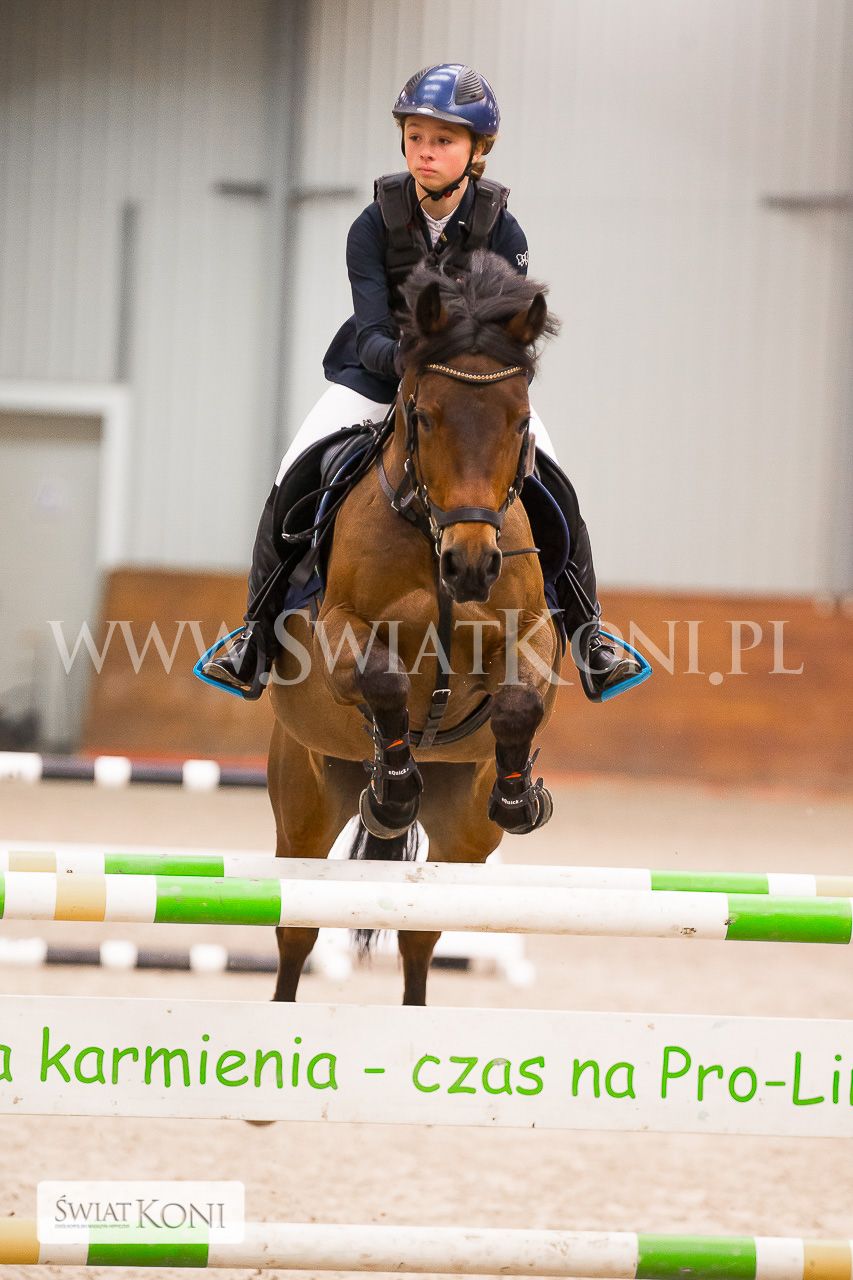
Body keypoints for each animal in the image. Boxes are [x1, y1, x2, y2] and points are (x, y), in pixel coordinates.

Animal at [267, 250, 561, 1006]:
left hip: (462, 834)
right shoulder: (335, 631)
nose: (471, 564)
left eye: (520, 420)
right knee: (295, 932)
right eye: (424, 417)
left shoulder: (532, 633)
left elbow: (518, 701)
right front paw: (394, 788)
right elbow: (382, 678)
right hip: (306, 801)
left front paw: (519, 796)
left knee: (422, 935)